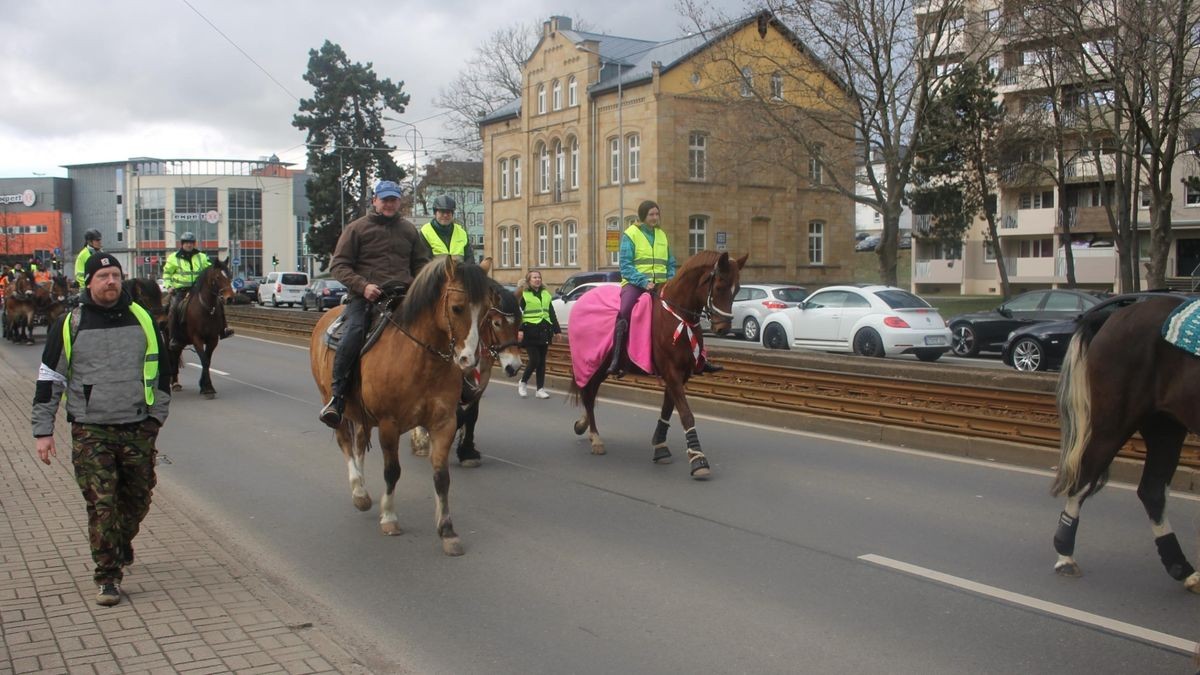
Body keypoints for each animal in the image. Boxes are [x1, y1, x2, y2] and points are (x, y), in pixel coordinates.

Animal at [169, 255, 234, 393]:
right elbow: (204, 360)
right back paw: (174, 382)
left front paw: (205, 385)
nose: (230, 298)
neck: (205, 308)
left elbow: (207, 361)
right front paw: (207, 387)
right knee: (173, 355)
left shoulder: (213, 339)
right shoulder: (196, 338)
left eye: (230, 275)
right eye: (217, 277)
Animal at [314, 254, 496, 554]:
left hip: (362, 413)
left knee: (359, 442)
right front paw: (389, 518)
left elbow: (441, 476)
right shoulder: (390, 424)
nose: (469, 360)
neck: (420, 357)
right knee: (345, 443)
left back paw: (363, 488)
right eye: (457, 308)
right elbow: (392, 471)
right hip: (334, 404)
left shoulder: (444, 423)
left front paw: (447, 531)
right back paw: (359, 491)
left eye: (485, 313)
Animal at [566, 251, 744, 478]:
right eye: (720, 286)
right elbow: (686, 415)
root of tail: (583, 299)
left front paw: (660, 447)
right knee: (589, 395)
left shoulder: (680, 375)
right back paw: (595, 438)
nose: (723, 328)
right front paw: (698, 460)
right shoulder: (671, 372)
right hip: (593, 363)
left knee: (590, 392)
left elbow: (667, 410)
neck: (678, 316)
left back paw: (584, 426)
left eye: (737, 289)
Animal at [1051, 294, 1200, 588]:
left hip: (1165, 425)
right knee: (1084, 478)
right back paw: (1065, 556)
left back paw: (1180, 567)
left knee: (1152, 491)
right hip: (1115, 422)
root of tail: (1115, 315)